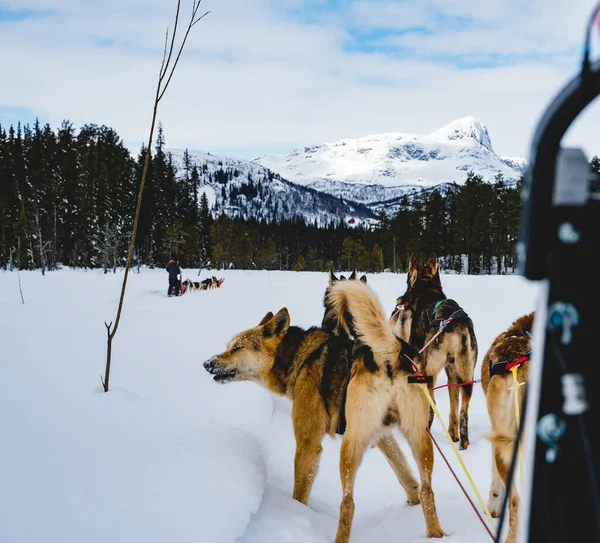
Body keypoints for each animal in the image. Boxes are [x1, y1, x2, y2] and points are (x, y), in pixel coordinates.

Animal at [205, 280, 446, 540]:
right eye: (229, 346)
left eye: (237, 348)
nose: (207, 363)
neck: (300, 357)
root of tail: (387, 353)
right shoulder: (383, 435)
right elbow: (405, 474)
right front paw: (412, 502)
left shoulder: (308, 443)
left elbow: (300, 491)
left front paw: (297, 512)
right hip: (418, 438)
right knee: (428, 489)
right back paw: (435, 533)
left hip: (349, 447)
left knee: (348, 503)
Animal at [390, 255, 478, 450]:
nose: (399, 302)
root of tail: (456, 324)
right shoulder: (452, 373)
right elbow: (453, 407)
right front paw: (452, 434)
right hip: (466, 376)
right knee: (463, 412)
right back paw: (463, 442)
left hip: (428, 370)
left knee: (431, 406)